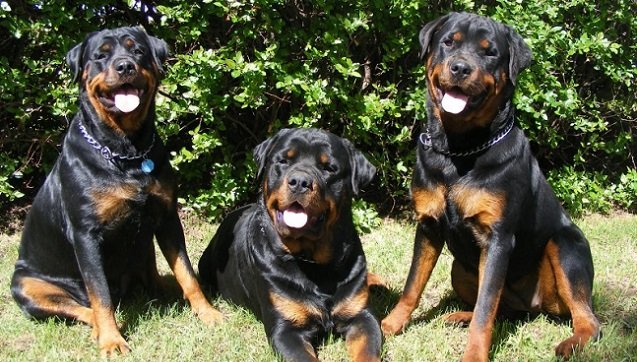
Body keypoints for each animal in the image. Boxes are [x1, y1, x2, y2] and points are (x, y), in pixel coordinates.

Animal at [9, 26, 224, 354]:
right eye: (101, 55)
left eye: (138, 51)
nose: (124, 66)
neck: (127, 151)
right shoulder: (86, 234)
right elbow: (100, 295)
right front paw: (111, 338)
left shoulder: (167, 218)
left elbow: (186, 273)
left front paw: (207, 313)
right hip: (25, 283)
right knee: (82, 307)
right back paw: (98, 328)